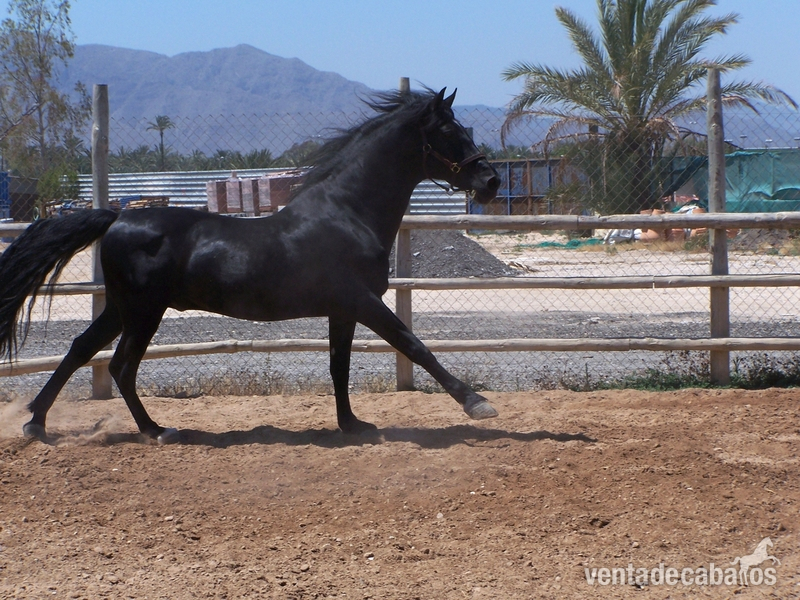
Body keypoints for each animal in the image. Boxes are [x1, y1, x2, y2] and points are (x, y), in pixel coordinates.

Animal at [0, 88, 501, 444]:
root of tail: (119, 216)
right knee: (122, 367)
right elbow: (414, 346)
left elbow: (339, 367)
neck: (347, 213)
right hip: (143, 313)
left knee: (81, 349)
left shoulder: (342, 310)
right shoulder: (363, 301)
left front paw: (352, 425)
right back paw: (156, 431)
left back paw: (36, 424)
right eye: (450, 133)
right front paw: (477, 404)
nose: (492, 181)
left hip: (120, 309)